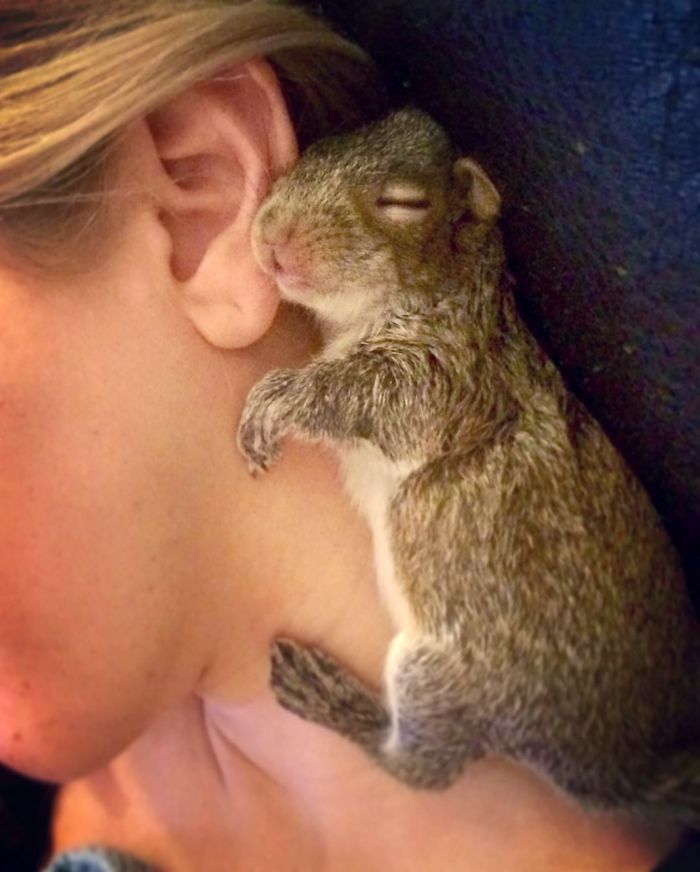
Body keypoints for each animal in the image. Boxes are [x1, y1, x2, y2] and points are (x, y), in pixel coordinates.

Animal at [237, 108, 700, 825]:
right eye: (308, 151)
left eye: (404, 203)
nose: (271, 237)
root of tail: (615, 768)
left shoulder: (457, 376)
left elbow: (376, 393)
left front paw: (282, 398)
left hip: (444, 679)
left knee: (424, 770)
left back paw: (336, 702)